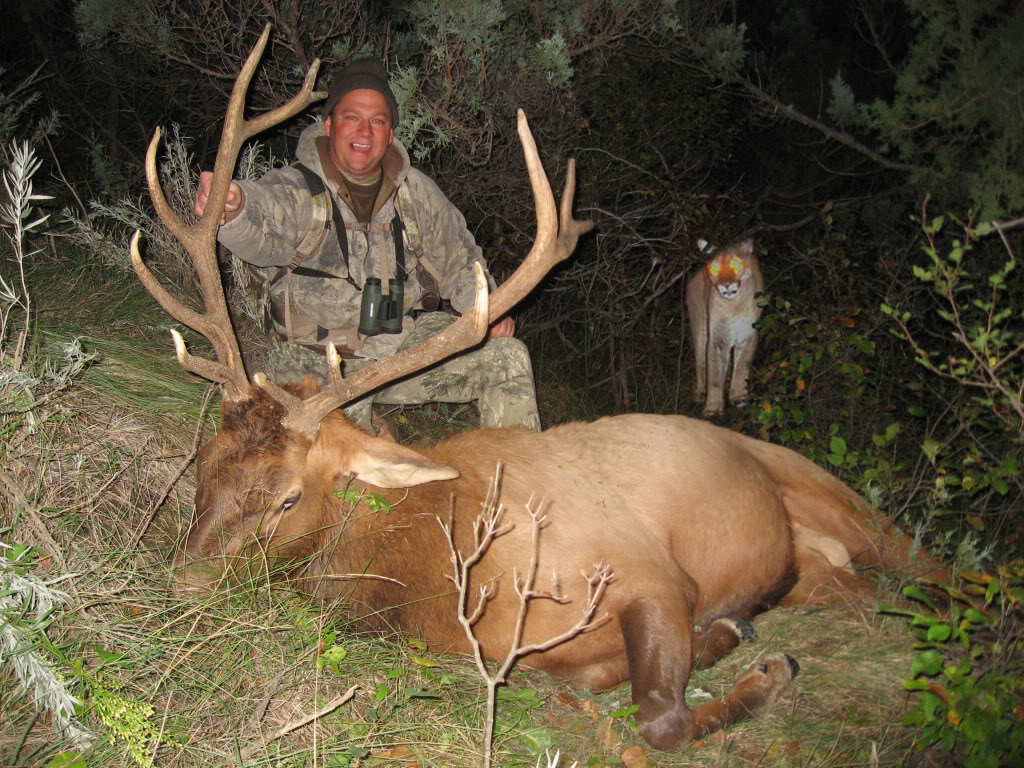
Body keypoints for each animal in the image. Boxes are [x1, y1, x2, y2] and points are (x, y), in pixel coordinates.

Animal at [131, 26, 951, 751]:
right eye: (204, 466)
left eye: (289, 497)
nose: (184, 584)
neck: (441, 576)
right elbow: (608, 681)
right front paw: (729, 634)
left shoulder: (647, 571)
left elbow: (661, 719)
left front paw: (767, 670)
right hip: (818, 571)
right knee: (867, 594)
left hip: (835, 496)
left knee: (934, 571)